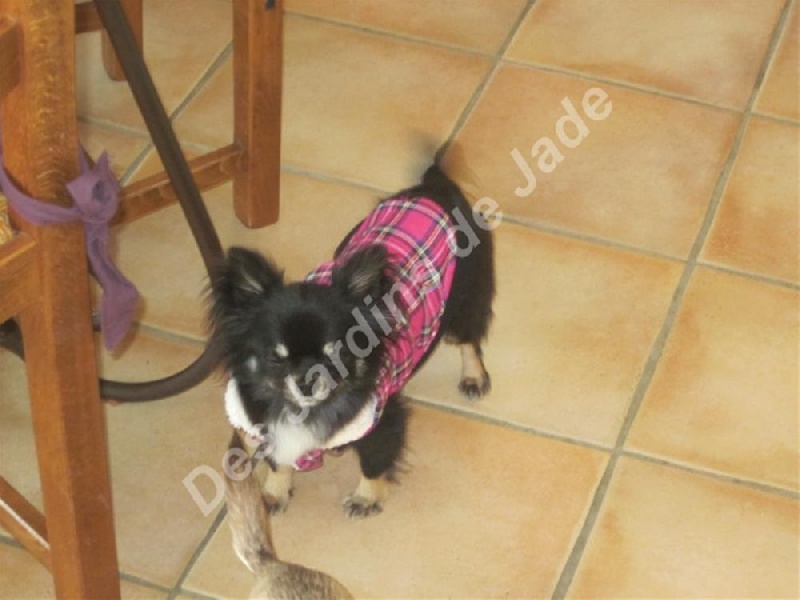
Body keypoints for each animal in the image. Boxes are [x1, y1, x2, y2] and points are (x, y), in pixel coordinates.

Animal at [209, 150, 495, 518]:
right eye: (276, 357)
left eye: (336, 352)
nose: (306, 380)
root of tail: (434, 188)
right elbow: (279, 461)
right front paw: (274, 492)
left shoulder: (382, 421)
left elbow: (374, 462)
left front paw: (365, 498)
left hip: (465, 300)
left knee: (469, 340)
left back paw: (473, 377)